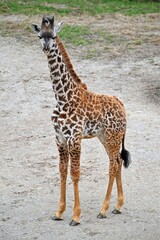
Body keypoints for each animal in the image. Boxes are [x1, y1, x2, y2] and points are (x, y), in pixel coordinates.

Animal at [31, 15, 131, 226]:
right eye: (40, 36)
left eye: (53, 35)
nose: (46, 47)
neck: (63, 97)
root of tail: (121, 105)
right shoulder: (59, 138)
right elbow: (62, 172)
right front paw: (59, 212)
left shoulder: (74, 138)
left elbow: (75, 174)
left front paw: (76, 216)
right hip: (105, 137)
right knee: (117, 161)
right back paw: (117, 206)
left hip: (113, 137)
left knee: (113, 164)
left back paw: (103, 209)